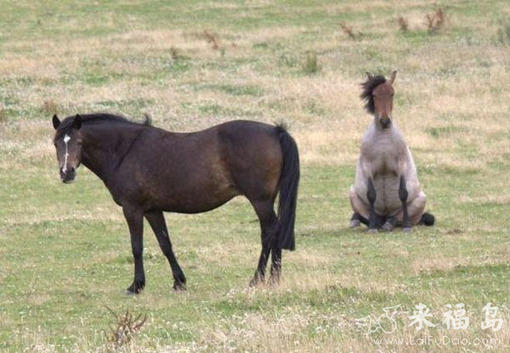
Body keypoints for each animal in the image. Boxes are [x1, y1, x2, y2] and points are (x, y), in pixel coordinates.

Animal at [51, 113, 298, 292]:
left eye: (79, 141)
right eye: (55, 143)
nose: (66, 173)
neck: (125, 150)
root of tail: (276, 131)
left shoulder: (133, 209)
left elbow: (136, 247)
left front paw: (136, 286)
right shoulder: (152, 210)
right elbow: (165, 244)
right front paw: (179, 281)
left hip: (260, 201)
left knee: (269, 233)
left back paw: (258, 279)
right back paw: (274, 279)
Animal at [350, 71, 434, 231]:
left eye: (392, 93)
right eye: (374, 94)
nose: (385, 121)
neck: (384, 140)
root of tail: (384, 217)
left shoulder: (401, 165)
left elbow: (403, 193)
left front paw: (407, 227)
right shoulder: (367, 167)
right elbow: (371, 194)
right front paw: (372, 228)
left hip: (421, 199)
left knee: (396, 218)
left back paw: (391, 223)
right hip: (352, 194)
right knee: (367, 216)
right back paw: (362, 221)